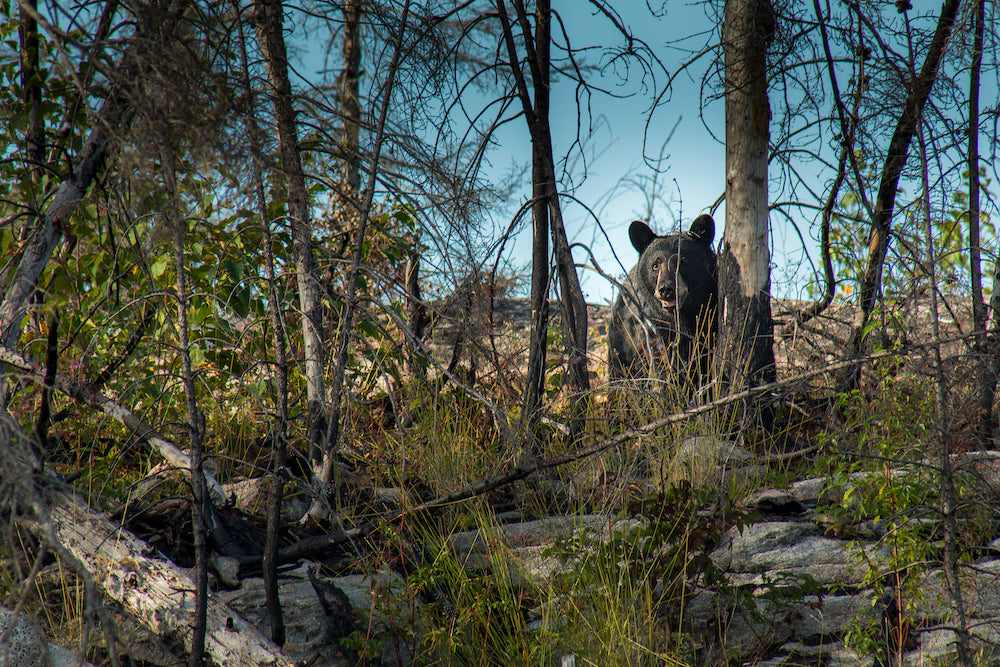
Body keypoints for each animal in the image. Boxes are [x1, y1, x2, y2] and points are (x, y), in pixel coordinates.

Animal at [608, 214, 718, 386]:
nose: (666, 289)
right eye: (655, 265)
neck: (682, 319)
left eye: (682, 262)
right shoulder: (653, 329)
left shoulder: (710, 321)